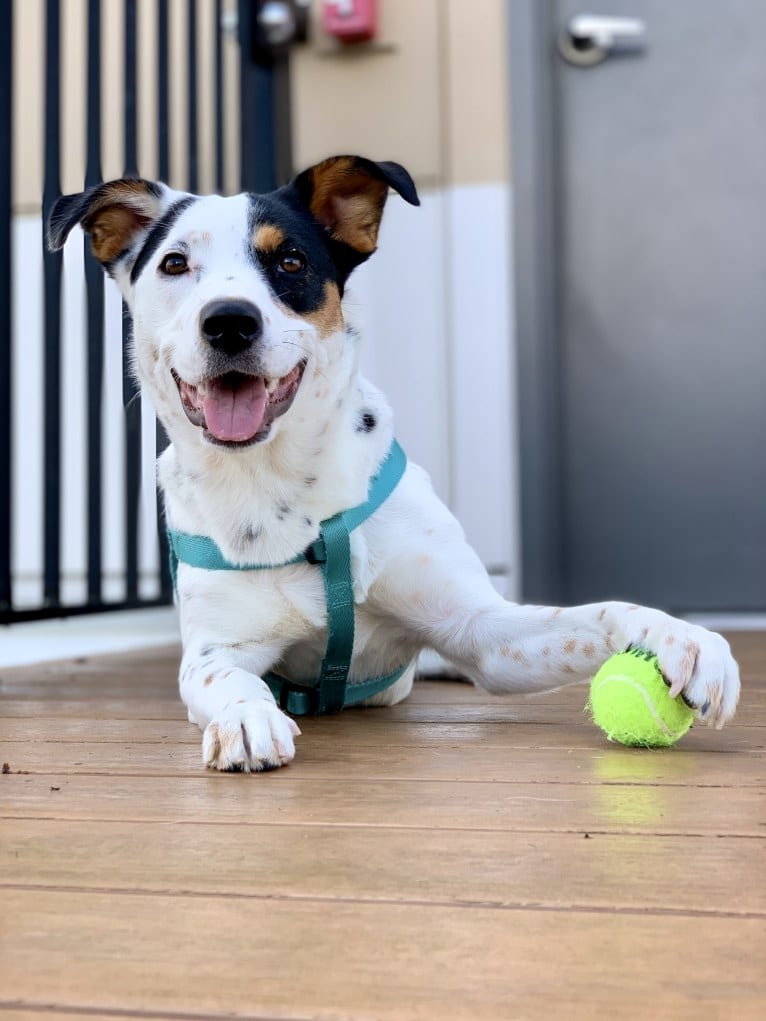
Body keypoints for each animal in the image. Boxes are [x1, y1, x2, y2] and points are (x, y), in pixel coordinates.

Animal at [49, 155, 743, 767]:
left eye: (291, 260)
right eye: (174, 263)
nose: (229, 322)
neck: (284, 488)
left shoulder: (481, 631)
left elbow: (596, 614)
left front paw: (681, 636)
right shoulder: (219, 648)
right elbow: (224, 678)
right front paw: (247, 717)